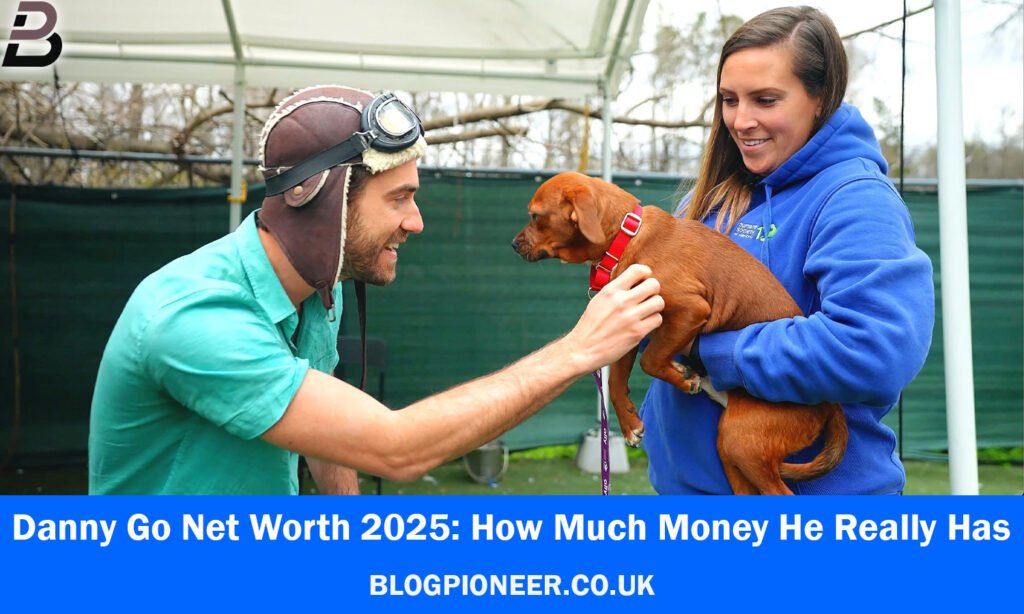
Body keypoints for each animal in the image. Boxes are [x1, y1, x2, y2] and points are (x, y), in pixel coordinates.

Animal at [512, 171, 847, 495]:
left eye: (535, 216)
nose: (513, 244)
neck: (627, 236)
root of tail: (831, 404)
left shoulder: (690, 310)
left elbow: (650, 359)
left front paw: (683, 379)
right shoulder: (632, 320)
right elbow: (616, 380)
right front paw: (630, 423)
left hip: (742, 440)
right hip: (730, 445)